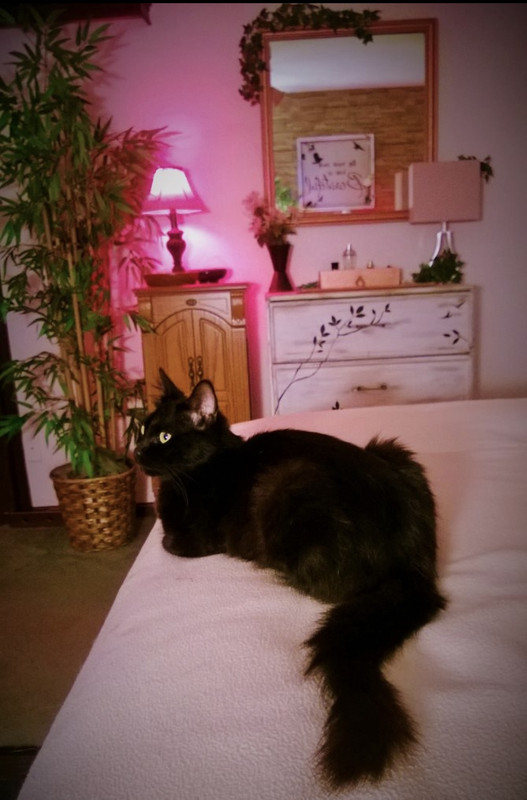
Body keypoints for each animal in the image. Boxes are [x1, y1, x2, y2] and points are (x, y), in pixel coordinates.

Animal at [134, 369, 447, 790]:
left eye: (165, 437)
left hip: (288, 484)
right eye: (142, 428)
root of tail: (413, 566)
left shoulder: (191, 541)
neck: (207, 465)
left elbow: (167, 540)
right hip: (393, 450)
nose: (136, 451)